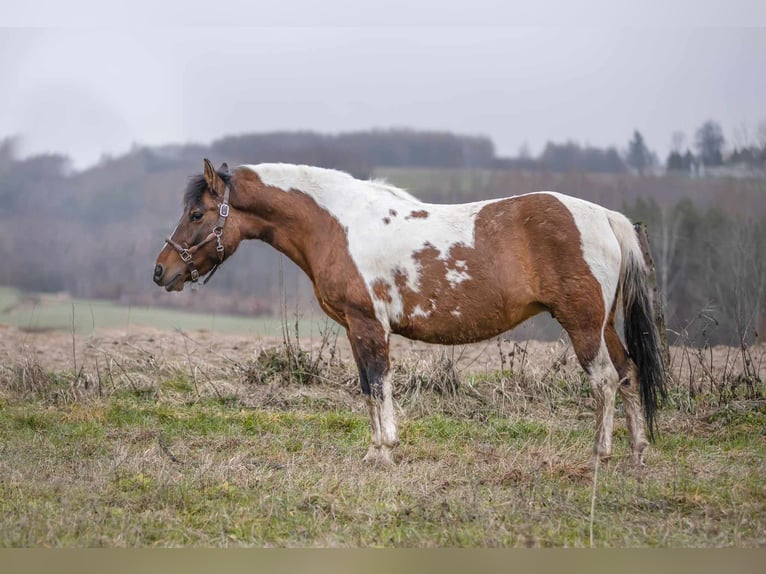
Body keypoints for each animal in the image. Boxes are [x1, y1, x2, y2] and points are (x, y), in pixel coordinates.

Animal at [153, 159, 668, 468]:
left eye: (197, 214)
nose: (161, 271)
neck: (339, 224)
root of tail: (607, 218)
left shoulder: (368, 325)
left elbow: (379, 385)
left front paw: (384, 451)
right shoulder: (356, 329)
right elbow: (367, 388)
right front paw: (373, 451)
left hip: (582, 324)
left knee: (604, 379)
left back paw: (599, 455)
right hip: (602, 324)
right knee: (628, 373)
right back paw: (637, 453)